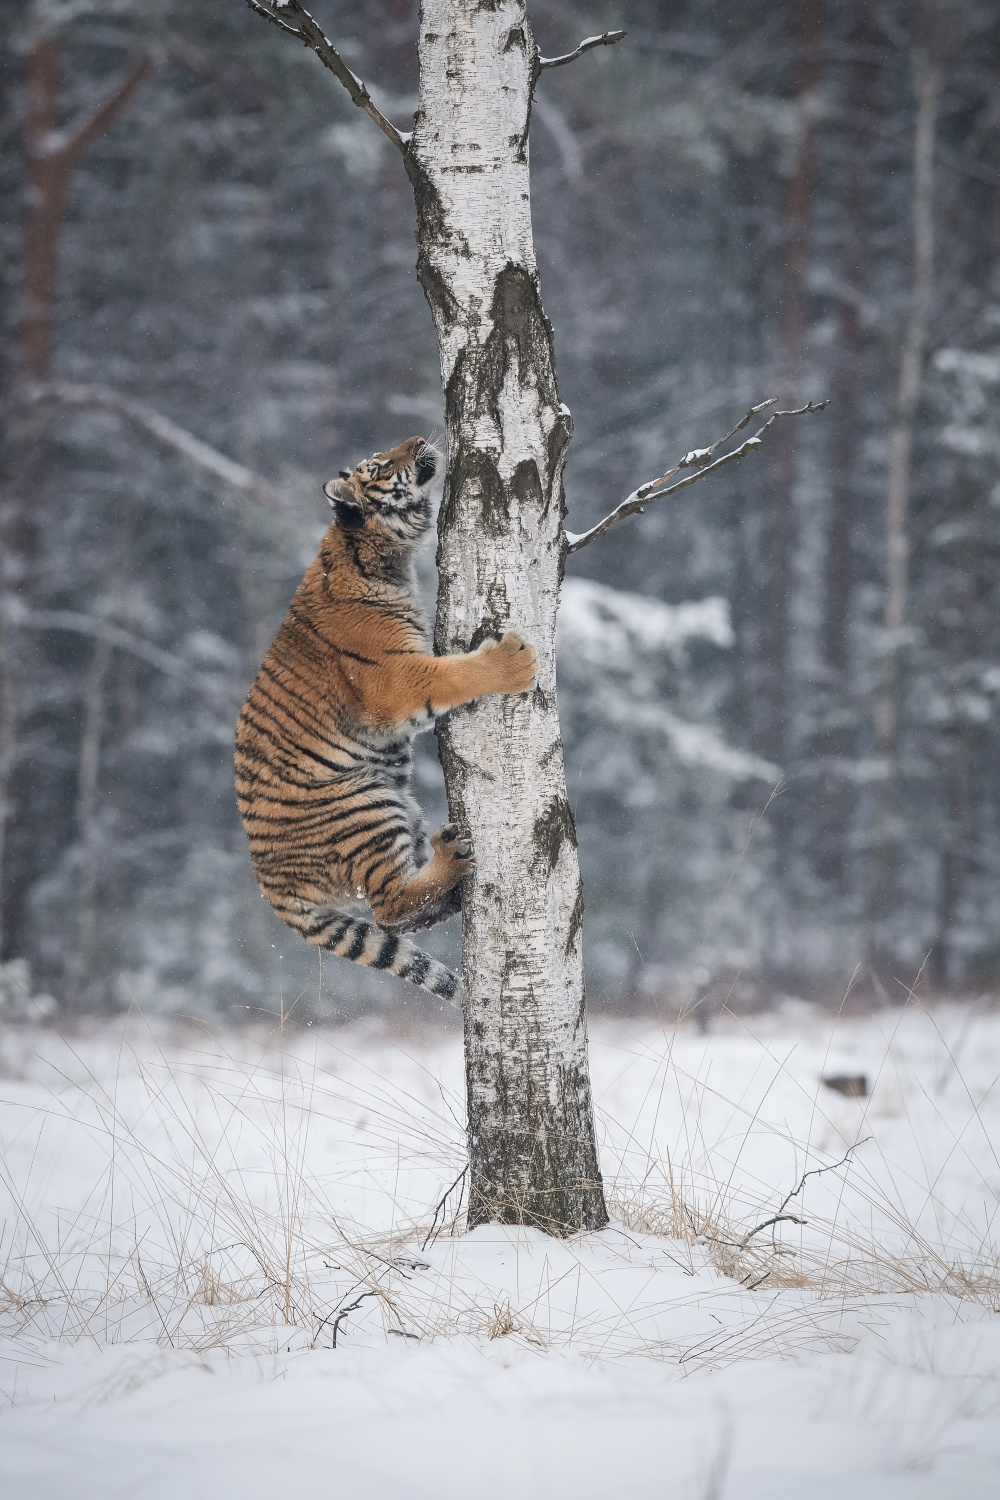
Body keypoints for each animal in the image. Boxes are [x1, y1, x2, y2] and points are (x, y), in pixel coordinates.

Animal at [235, 435, 539, 1002]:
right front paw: (513, 662)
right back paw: (452, 856)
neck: (380, 556)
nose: (419, 440)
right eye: (378, 466)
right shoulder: (395, 680)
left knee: (397, 915)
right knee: (389, 903)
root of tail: (268, 885)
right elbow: (454, 674)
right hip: (362, 806)